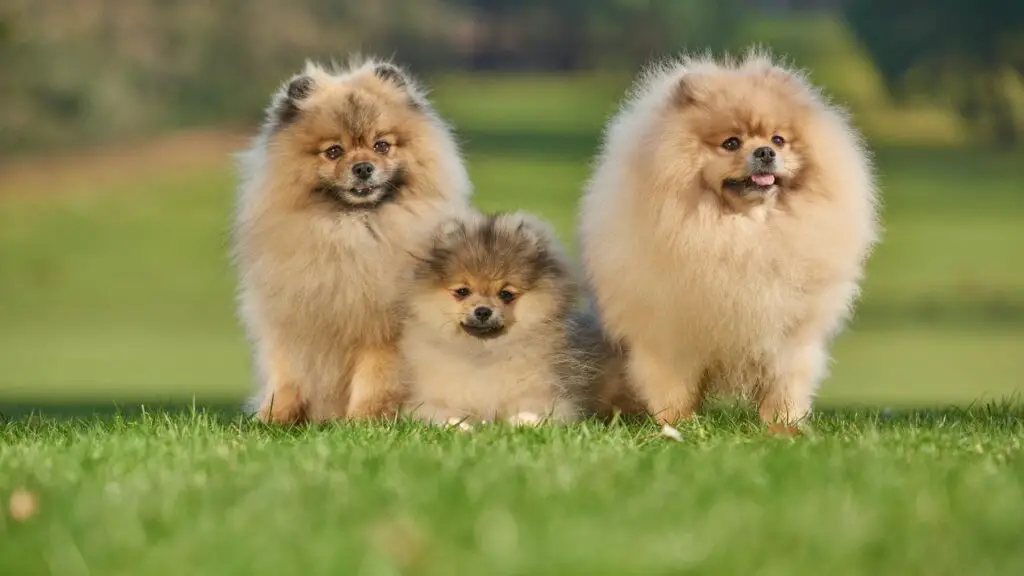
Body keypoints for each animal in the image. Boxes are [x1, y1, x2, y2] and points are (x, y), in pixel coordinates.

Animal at [233, 54, 471, 422]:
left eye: (381, 145)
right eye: (333, 151)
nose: (362, 167)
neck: (350, 231)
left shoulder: (381, 329)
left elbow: (375, 378)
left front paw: (365, 419)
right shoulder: (288, 323)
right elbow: (287, 378)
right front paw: (274, 418)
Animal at [403, 210, 589, 422]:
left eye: (505, 294)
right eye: (462, 291)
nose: (483, 310)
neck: (483, 352)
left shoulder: (544, 392)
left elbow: (533, 406)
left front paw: (525, 419)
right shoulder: (430, 396)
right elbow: (439, 410)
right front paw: (455, 422)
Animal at [577, 49, 880, 424]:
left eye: (778, 139)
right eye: (731, 143)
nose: (765, 152)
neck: (743, 235)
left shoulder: (790, 334)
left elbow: (785, 383)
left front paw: (782, 424)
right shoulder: (669, 330)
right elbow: (672, 386)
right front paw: (674, 424)